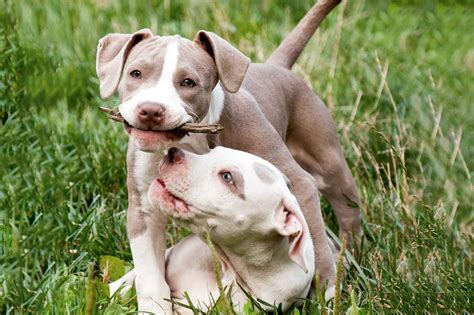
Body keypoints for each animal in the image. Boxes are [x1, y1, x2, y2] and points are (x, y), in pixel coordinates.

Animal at [110, 148, 322, 314]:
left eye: (227, 177)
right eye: (211, 152)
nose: (172, 152)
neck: (230, 266)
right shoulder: (172, 254)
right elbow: (130, 279)